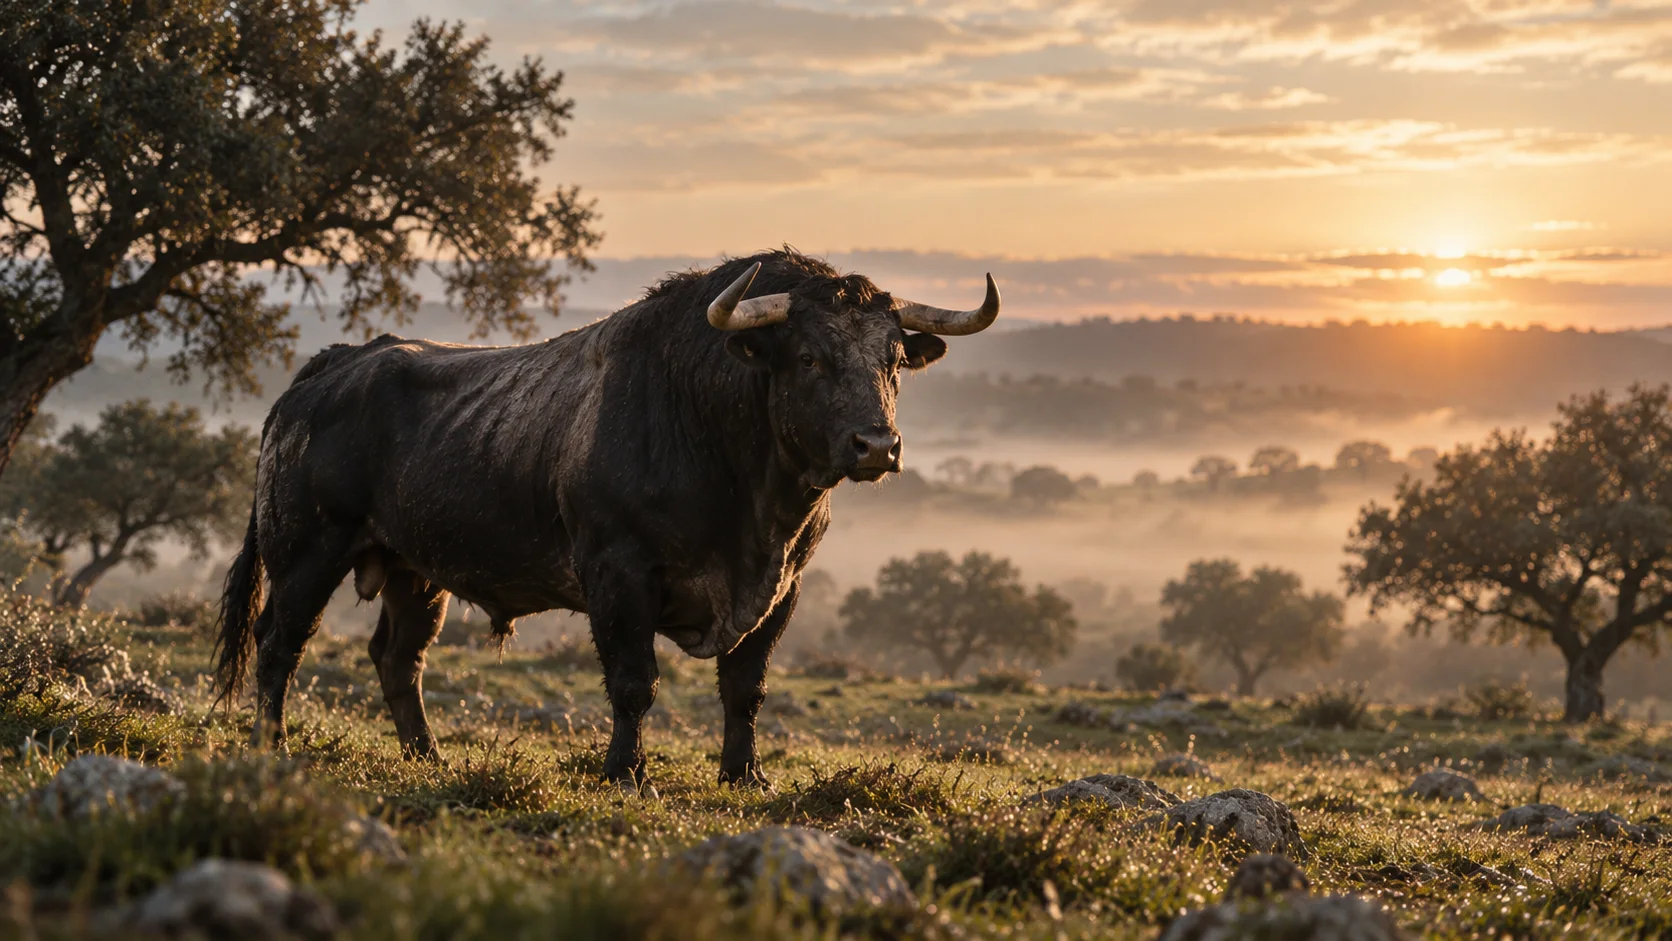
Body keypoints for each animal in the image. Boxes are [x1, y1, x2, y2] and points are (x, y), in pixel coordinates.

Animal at [213, 249, 1000, 790]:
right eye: (809, 356)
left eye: (893, 358)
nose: (878, 445)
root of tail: (336, 363)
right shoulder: (619, 575)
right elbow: (633, 681)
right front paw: (627, 772)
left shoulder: (785, 586)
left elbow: (745, 688)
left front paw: (744, 774)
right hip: (306, 552)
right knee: (278, 643)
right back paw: (271, 746)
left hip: (416, 571)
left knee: (398, 657)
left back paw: (427, 755)